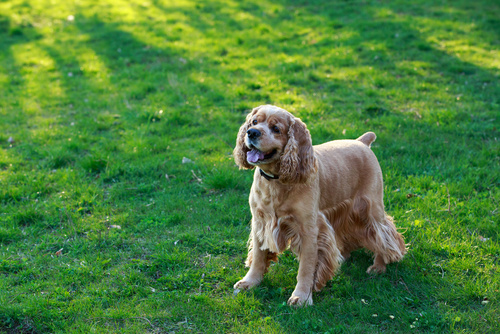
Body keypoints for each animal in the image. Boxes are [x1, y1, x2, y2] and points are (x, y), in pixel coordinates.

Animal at [232, 104, 404, 306]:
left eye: (276, 129)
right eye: (254, 122)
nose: (251, 132)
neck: (276, 181)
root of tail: (362, 142)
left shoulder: (308, 230)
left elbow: (306, 268)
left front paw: (302, 297)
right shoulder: (260, 222)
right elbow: (258, 257)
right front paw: (250, 282)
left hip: (371, 207)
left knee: (384, 235)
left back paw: (379, 265)